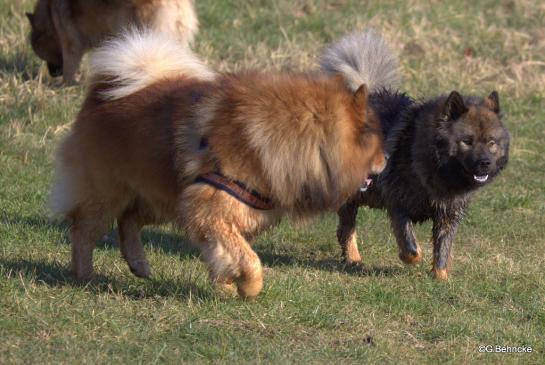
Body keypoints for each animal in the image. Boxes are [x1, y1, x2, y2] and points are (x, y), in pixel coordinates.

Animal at [320, 31, 508, 278]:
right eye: (467, 141)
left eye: (491, 143)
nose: (485, 163)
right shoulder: (397, 204)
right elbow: (411, 245)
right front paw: (410, 258)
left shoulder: (448, 214)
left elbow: (443, 249)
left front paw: (441, 277)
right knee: (346, 228)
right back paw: (353, 259)